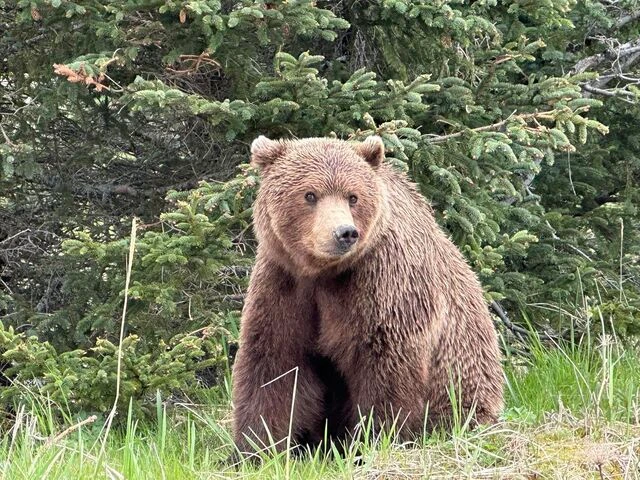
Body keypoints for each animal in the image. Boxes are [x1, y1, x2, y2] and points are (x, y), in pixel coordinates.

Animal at [231, 135, 504, 457]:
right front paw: (254, 449)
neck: (324, 274)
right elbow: (274, 364)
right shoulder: (284, 284)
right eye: (310, 194)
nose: (345, 233)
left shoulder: (381, 283)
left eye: (353, 196)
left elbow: (385, 364)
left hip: (463, 380)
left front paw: (372, 440)